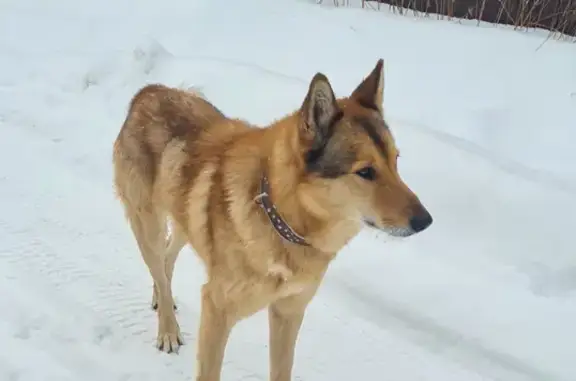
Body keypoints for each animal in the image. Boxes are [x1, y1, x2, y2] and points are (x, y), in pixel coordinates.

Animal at [111, 58, 432, 380]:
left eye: (395, 161)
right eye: (365, 171)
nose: (426, 221)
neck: (280, 218)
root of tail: (149, 92)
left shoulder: (288, 312)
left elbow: (281, 370)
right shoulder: (216, 310)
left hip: (184, 216)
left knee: (167, 258)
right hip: (148, 226)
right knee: (158, 262)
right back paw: (167, 328)